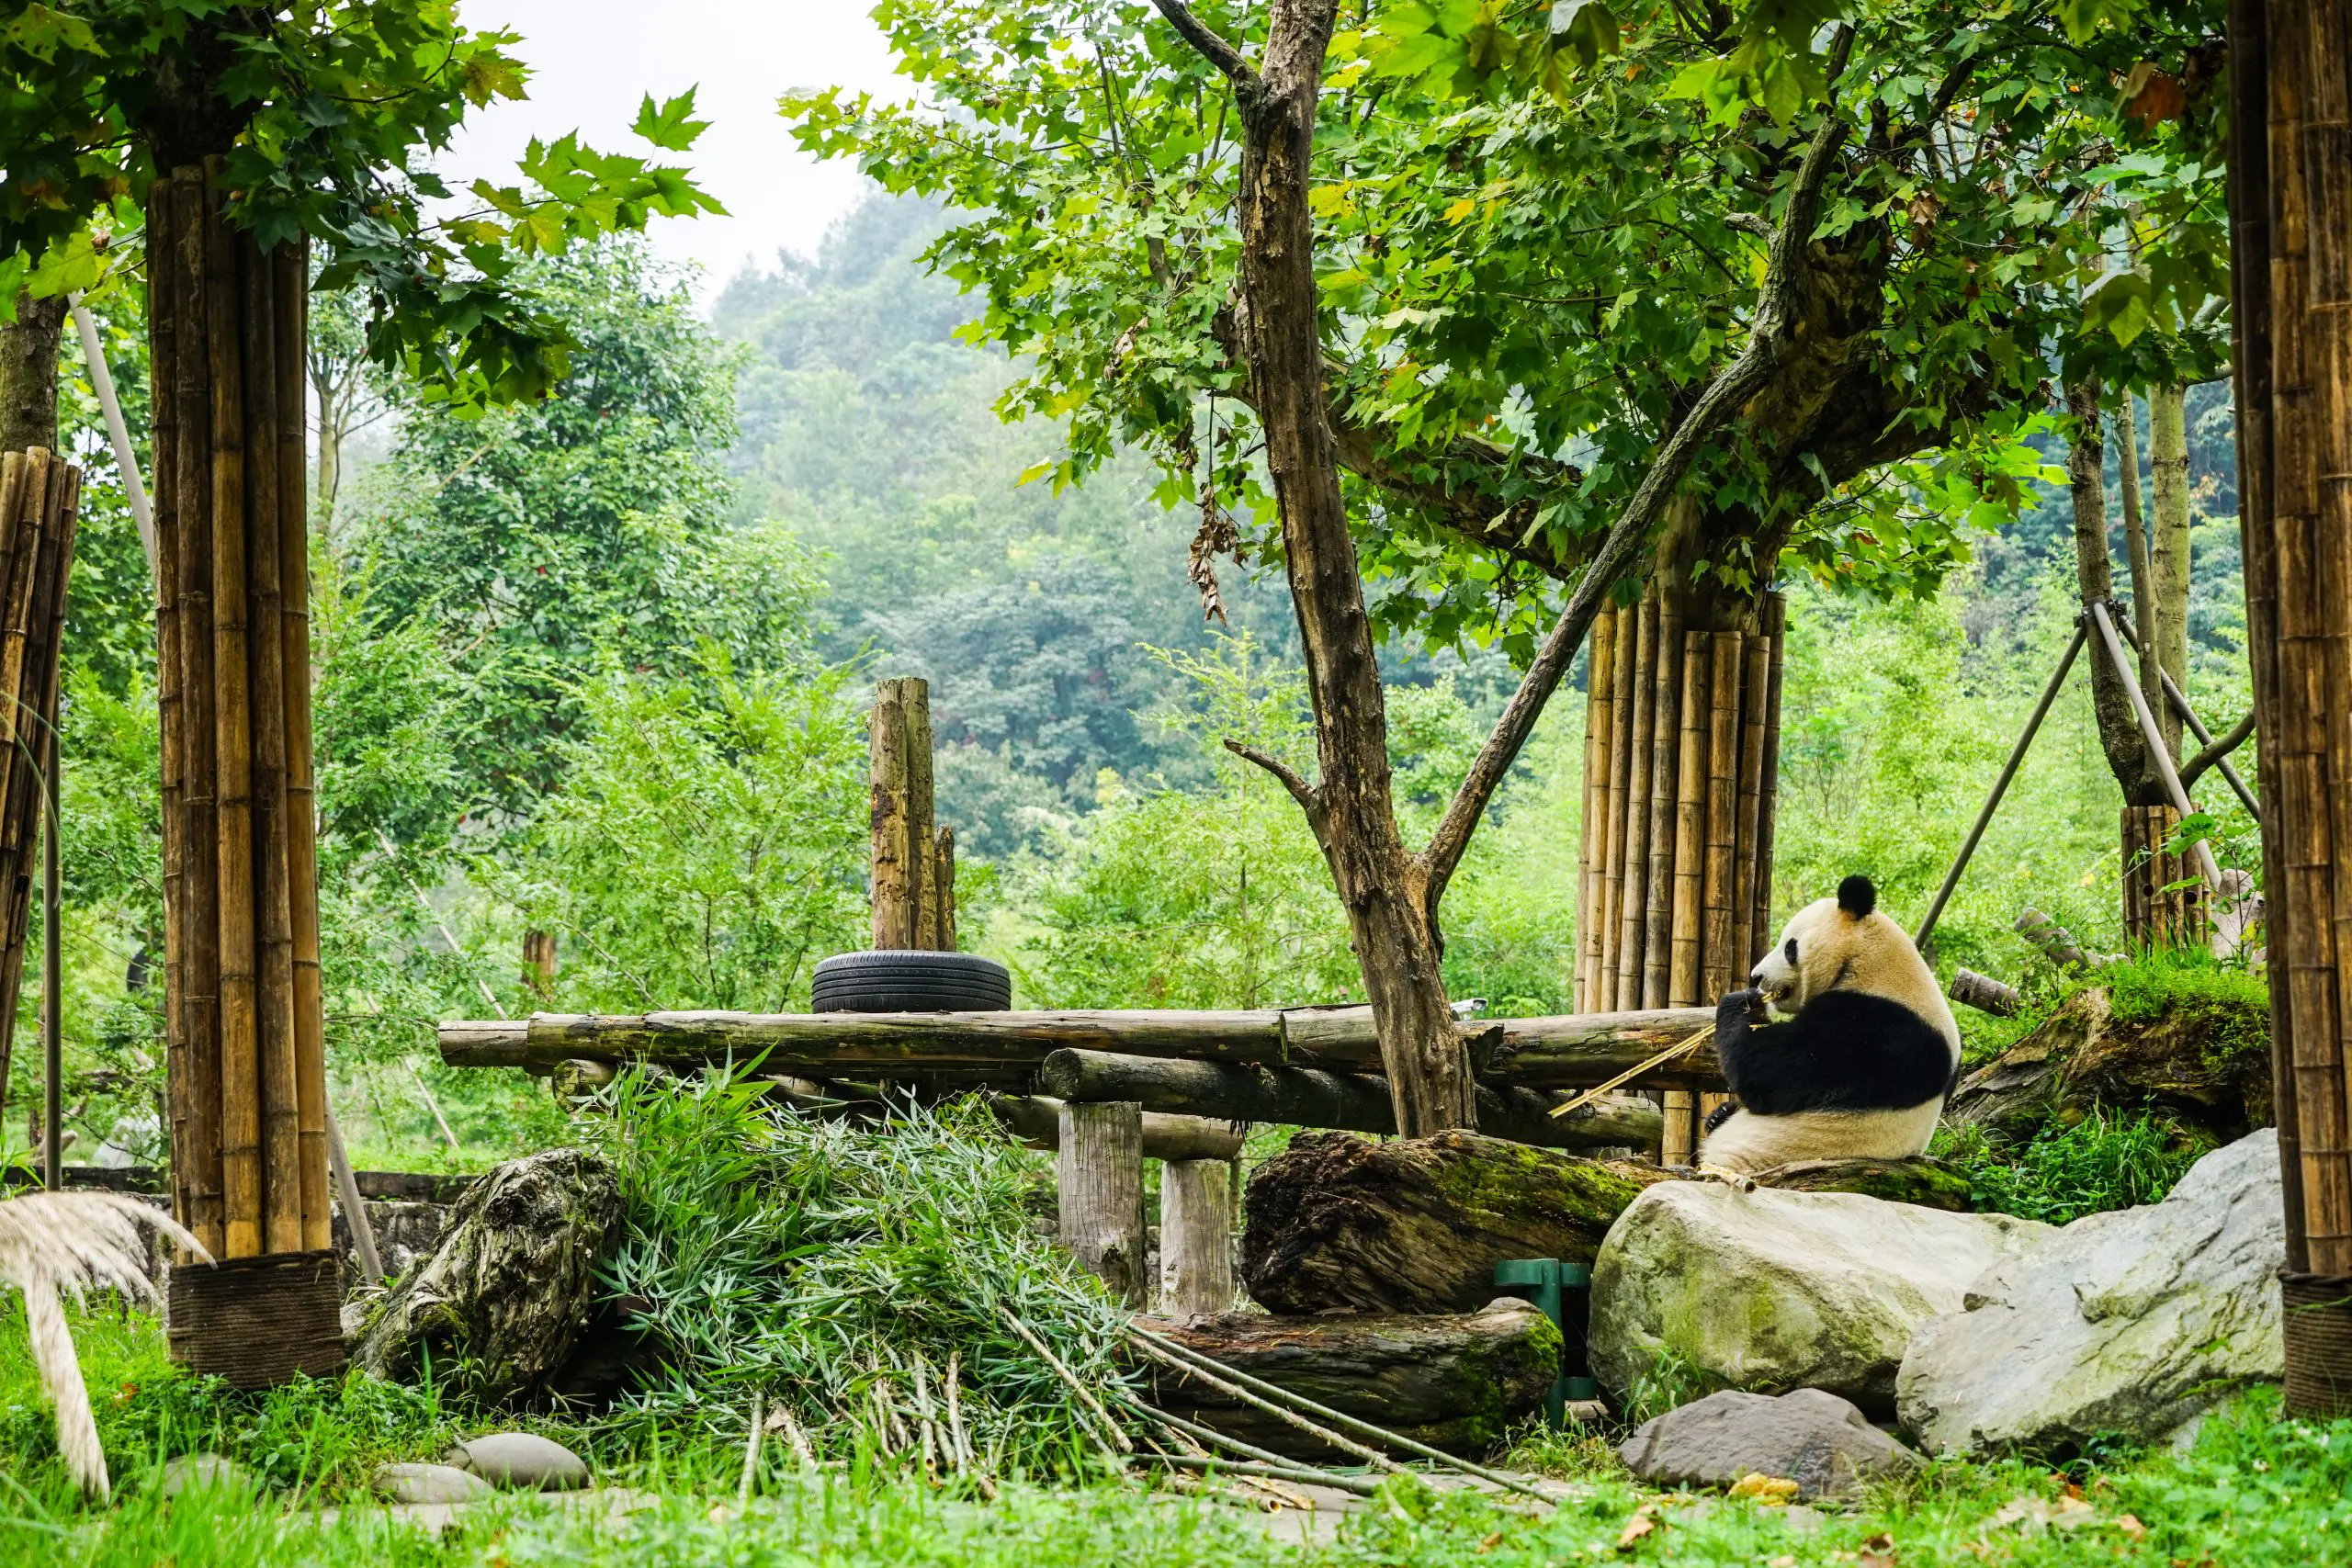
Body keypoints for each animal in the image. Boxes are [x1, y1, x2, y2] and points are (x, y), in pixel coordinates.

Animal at [1697, 874, 1962, 1175]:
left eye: (1790, 947)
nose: (1756, 976)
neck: (1869, 961)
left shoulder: (1877, 1029)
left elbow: (1767, 1071)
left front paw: (1741, 1001)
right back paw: (1719, 1116)